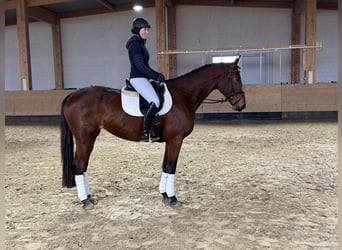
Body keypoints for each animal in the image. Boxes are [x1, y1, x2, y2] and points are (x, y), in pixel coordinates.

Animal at [60, 57, 244, 208]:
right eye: (236, 79)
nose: (242, 105)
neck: (183, 96)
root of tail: (72, 94)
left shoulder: (170, 140)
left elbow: (165, 165)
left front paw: (165, 195)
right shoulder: (176, 139)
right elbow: (171, 166)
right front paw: (173, 199)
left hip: (91, 137)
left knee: (83, 165)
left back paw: (89, 197)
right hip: (84, 138)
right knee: (79, 165)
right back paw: (85, 201)